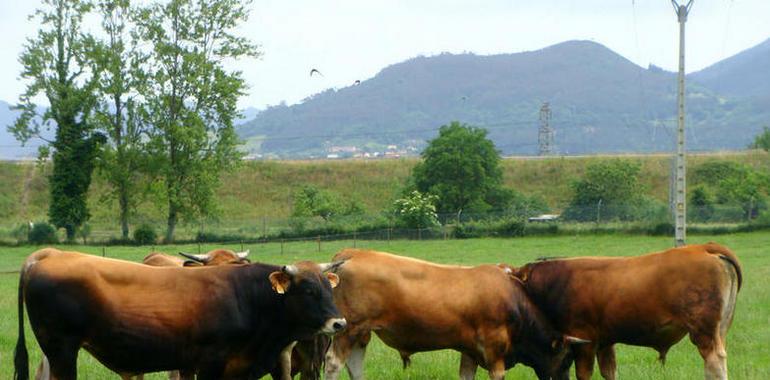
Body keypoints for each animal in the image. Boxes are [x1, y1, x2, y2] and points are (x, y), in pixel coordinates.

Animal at [13, 248, 344, 380]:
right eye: (308, 291)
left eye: (329, 289)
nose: (339, 322)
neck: (247, 296)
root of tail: (47, 255)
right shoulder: (210, 363)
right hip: (62, 351)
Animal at [320, 249, 584, 380]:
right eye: (567, 360)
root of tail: (352, 253)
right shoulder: (494, 351)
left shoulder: (470, 350)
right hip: (349, 328)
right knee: (334, 363)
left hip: (362, 332)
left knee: (354, 365)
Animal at [510, 243, 736, 380]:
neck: (558, 281)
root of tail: (703, 248)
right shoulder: (605, 342)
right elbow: (609, 372)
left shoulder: (585, 341)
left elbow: (584, 373)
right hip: (719, 331)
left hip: (704, 333)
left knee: (715, 363)